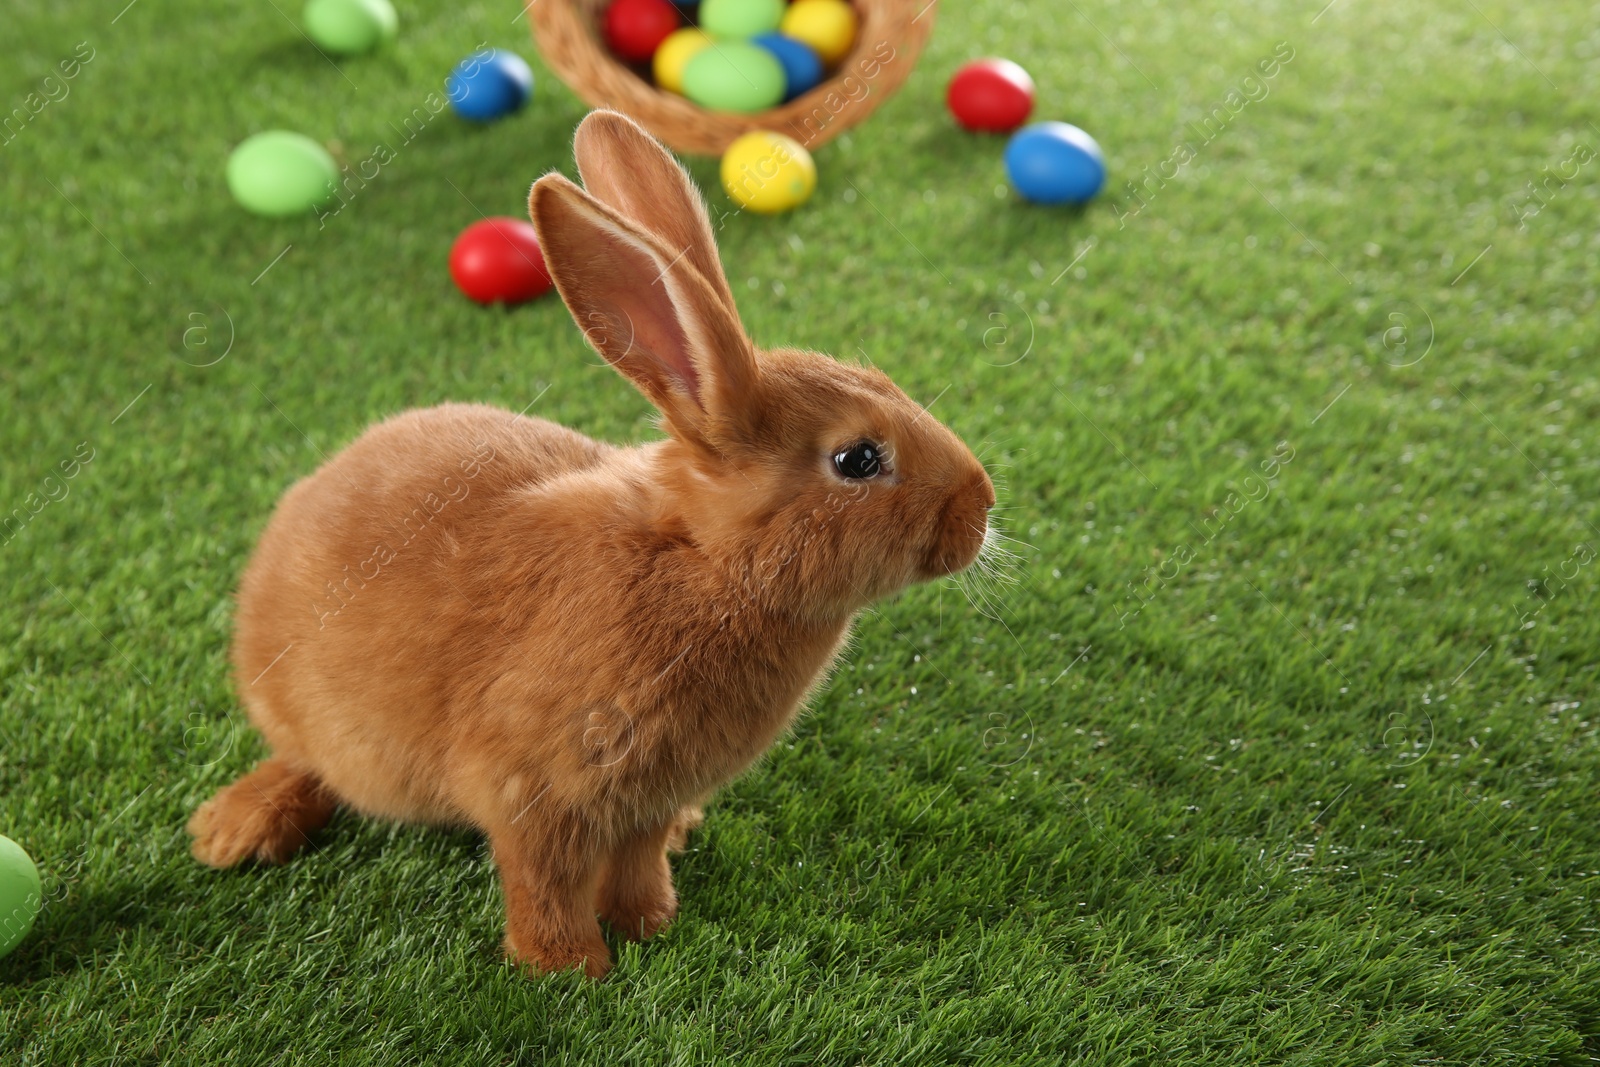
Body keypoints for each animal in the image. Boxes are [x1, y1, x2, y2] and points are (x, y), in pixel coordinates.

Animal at [184, 108, 985, 979]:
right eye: (858, 459)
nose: (980, 508)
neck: (703, 563)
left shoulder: (642, 796)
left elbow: (635, 857)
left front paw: (650, 923)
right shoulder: (538, 788)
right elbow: (546, 877)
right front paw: (570, 968)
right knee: (305, 763)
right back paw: (233, 830)